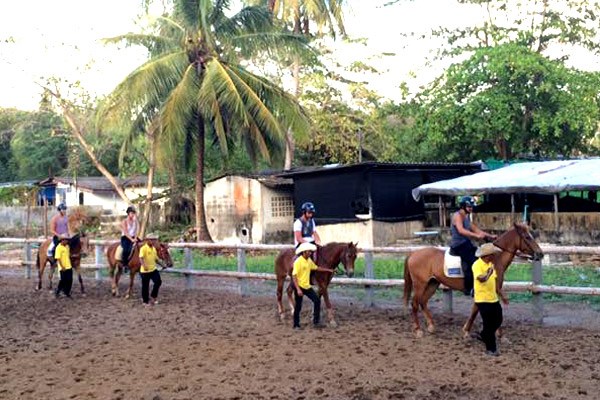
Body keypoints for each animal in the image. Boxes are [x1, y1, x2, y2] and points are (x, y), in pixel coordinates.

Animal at [404, 222, 544, 338]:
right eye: (527, 237)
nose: (540, 254)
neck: (494, 259)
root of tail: (413, 254)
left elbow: (485, 309)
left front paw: (497, 332)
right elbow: (476, 310)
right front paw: (467, 331)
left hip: (432, 283)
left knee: (423, 301)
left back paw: (431, 326)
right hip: (420, 284)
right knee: (415, 303)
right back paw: (418, 330)